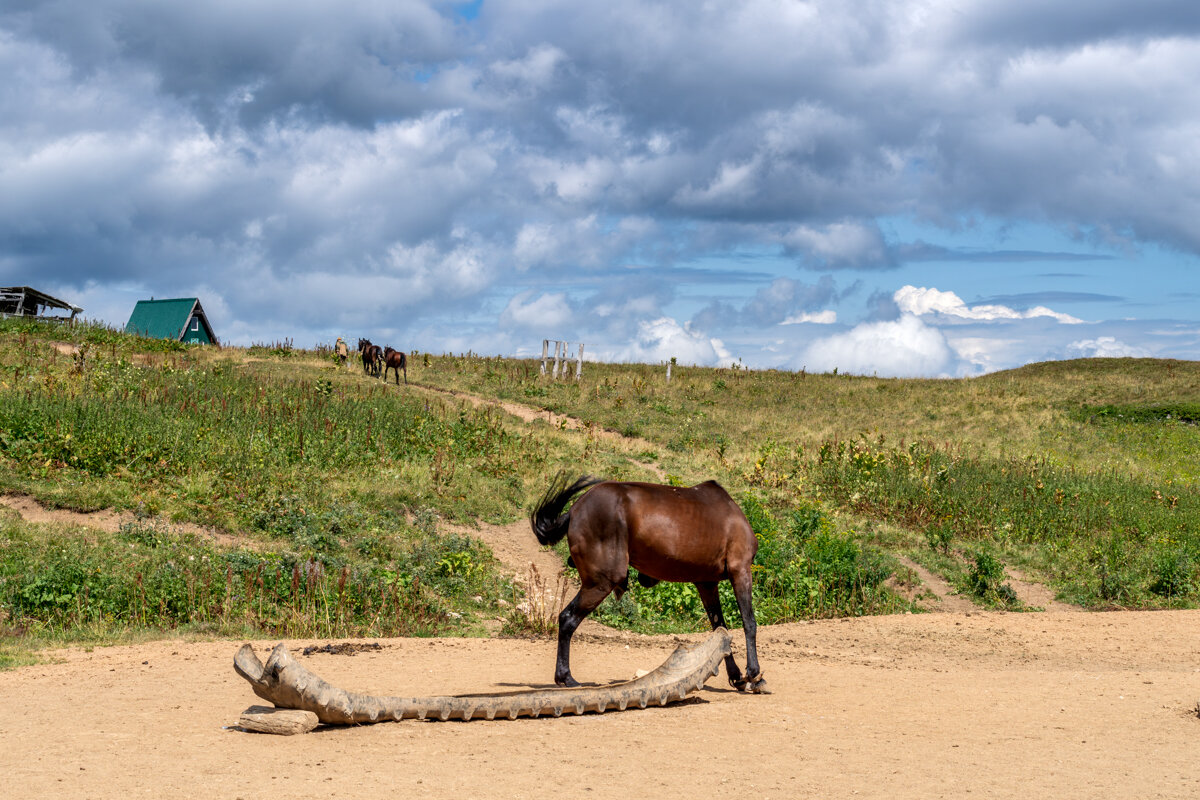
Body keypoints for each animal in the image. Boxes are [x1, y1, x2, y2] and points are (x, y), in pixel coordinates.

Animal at [530, 474, 763, 695]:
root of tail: (574, 510)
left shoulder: (706, 583)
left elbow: (720, 628)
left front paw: (736, 676)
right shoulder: (740, 570)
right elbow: (749, 622)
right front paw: (753, 674)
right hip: (601, 583)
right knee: (568, 618)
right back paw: (566, 678)